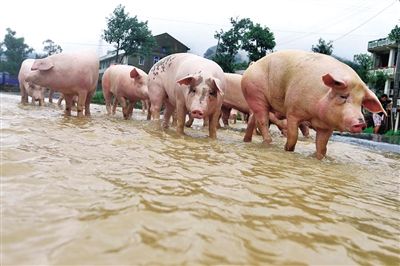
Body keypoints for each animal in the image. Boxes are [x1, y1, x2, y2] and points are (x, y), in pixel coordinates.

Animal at [241, 50, 384, 159]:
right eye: (343, 96)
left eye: (361, 103)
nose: (361, 123)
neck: (315, 115)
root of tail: (251, 66)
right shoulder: (292, 111)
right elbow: (293, 137)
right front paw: (287, 150)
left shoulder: (327, 127)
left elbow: (322, 147)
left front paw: (319, 158)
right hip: (256, 95)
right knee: (263, 121)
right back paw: (268, 143)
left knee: (252, 121)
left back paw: (246, 141)